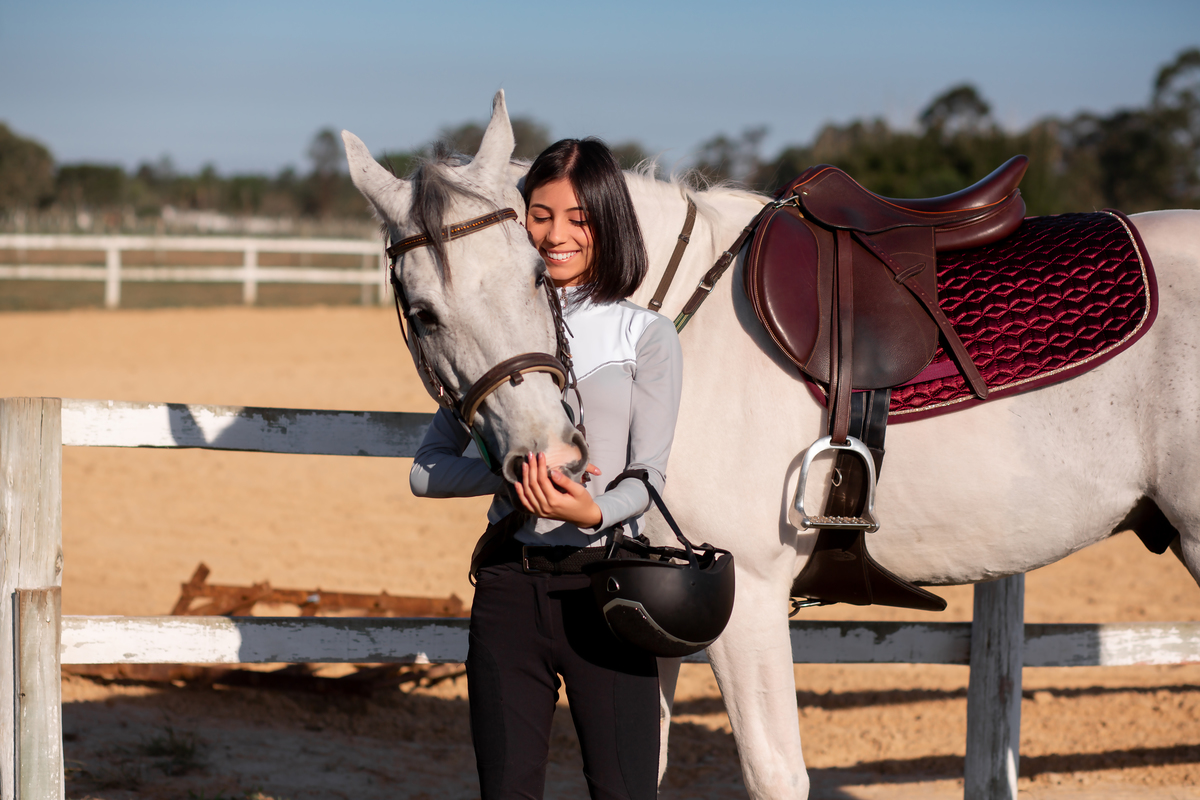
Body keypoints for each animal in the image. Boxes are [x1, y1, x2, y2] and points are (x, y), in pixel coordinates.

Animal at [343, 91, 1200, 800]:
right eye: (420, 312)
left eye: (533, 272)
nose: (551, 463)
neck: (673, 330)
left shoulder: (748, 599)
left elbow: (773, 773)